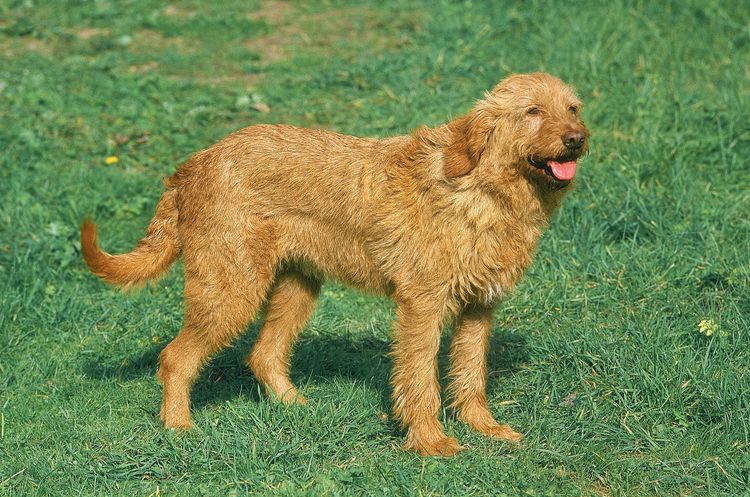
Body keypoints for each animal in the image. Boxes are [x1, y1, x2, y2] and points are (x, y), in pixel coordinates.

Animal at [79, 71, 592, 456]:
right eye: (532, 111)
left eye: (573, 108)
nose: (576, 139)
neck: (483, 189)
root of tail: (192, 165)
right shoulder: (423, 307)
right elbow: (420, 377)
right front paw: (431, 443)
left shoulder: (478, 308)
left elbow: (470, 375)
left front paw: (485, 428)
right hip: (230, 290)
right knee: (176, 357)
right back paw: (178, 428)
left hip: (296, 287)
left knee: (263, 354)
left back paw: (296, 407)